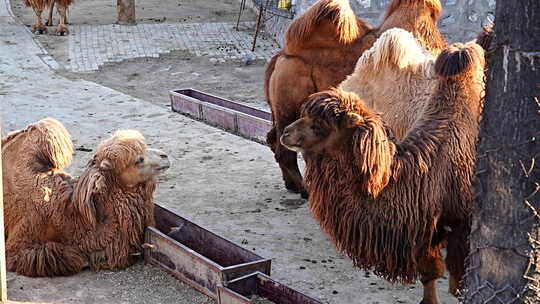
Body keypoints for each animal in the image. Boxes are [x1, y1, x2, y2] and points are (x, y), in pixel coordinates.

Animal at [266, 0, 448, 197]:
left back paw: (294, 184)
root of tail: (282, 55)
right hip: (290, 99)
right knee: (285, 146)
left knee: (275, 139)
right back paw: (304, 189)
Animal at [280, 42, 488, 304]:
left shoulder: (461, 224)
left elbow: (459, 276)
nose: (286, 133)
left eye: (320, 126)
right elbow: (429, 273)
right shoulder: (425, 230)